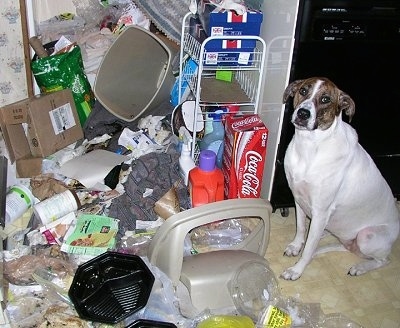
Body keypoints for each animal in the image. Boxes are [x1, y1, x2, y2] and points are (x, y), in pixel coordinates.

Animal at [282, 76, 400, 280]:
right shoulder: (297, 198)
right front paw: (296, 246)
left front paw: (296, 270)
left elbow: (308, 248)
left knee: (384, 260)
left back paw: (359, 267)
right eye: (303, 91)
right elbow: (301, 227)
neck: (309, 146)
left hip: (367, 236)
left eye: (325, 99)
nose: (303, 113)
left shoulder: (321, 210)